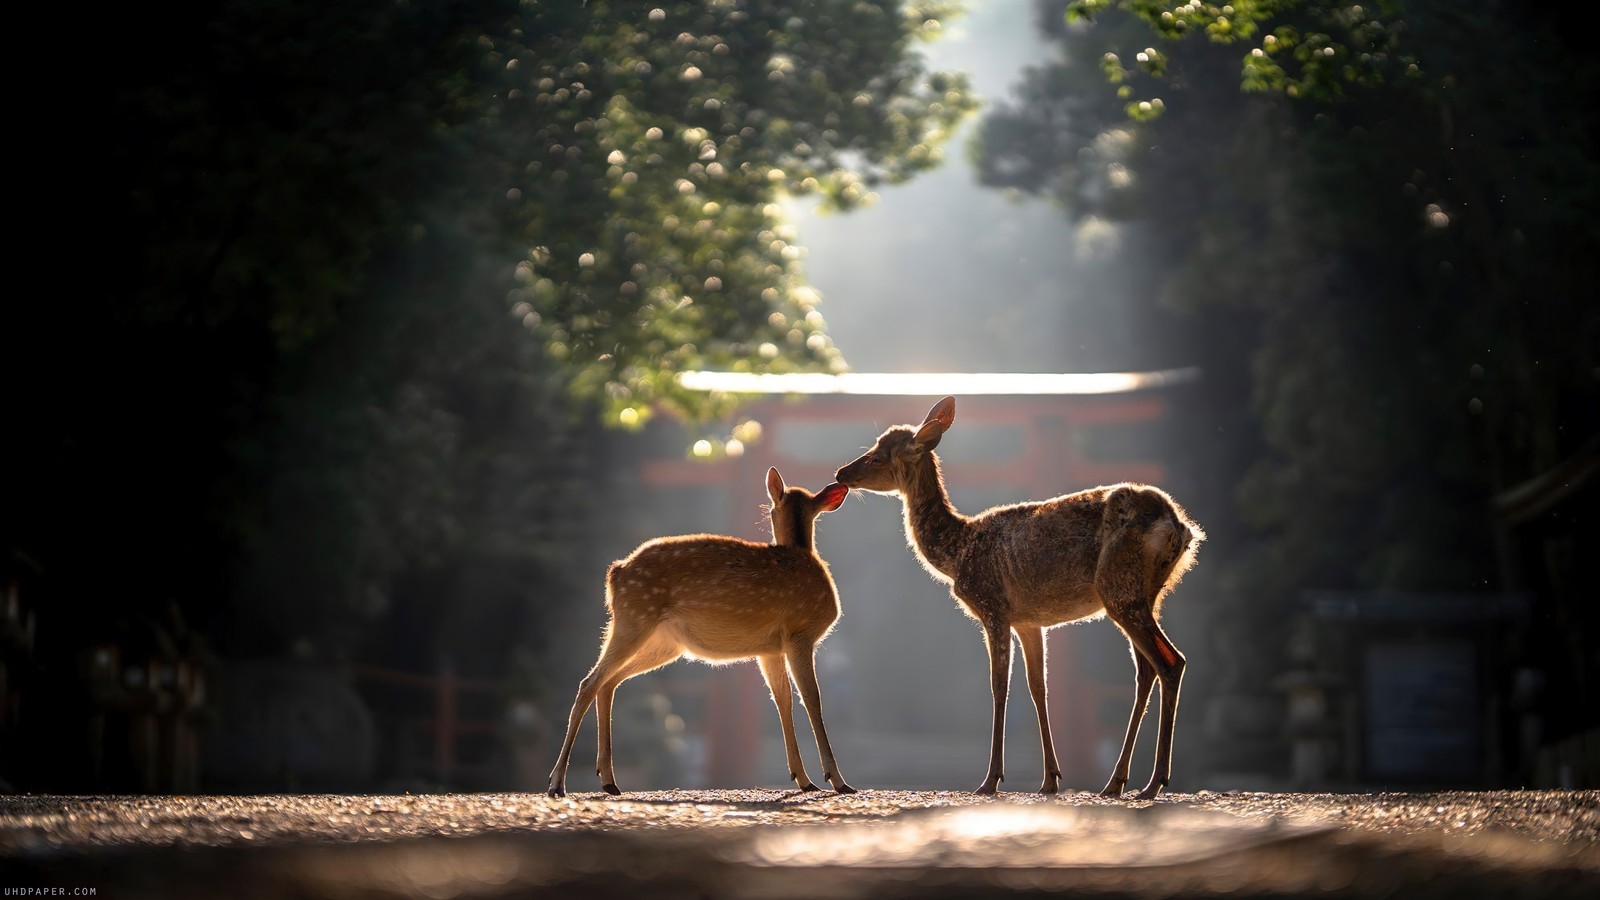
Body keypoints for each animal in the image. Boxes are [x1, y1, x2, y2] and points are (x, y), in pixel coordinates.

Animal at [547, 464, 857, 794]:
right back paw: (557, 783)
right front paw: (837, 780)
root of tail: (615, 574)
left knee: (608, 683)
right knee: (590, 682)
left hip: (662, 641)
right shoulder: (800, 633)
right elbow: (812, 698)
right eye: (771, 508)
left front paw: (804, 780)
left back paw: (608, 780)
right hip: (635, 618)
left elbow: (782, 700)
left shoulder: (770, 648)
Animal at [838, 395, 1203, 794]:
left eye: (877, 457)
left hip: (1119, 587)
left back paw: (1153, 782)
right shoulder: (1030, 620)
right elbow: (1037, 688)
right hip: (1147, 593)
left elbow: (1000, 687)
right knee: (1146, 670)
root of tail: (1181, 526)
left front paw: (990, 780)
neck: (958, 551)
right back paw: (1116, 782)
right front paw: (1050, 779)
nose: (841, 473)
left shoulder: (992, 606)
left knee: (1170, 661)